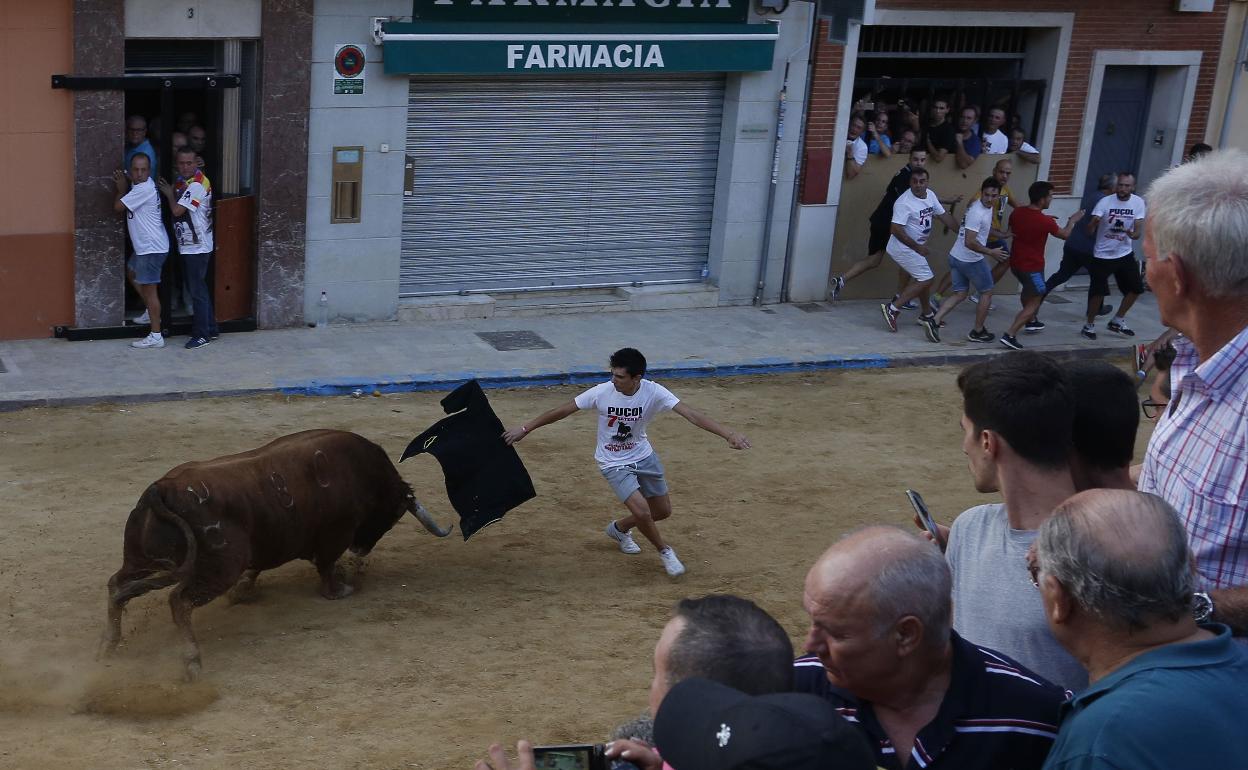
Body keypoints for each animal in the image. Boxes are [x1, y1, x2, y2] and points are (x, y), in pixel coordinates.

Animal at [98, 426, 449, 678]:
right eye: (394, 515)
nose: (361, 548)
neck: (361, 472)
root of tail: (161, 488)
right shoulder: (336, 534)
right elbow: (326, 567)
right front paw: (341, 589)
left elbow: (257, 569)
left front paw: (243, 592)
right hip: (220, 566)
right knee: (179, 602)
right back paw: (192, 662)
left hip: (142, 560)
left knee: (117, 586)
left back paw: (108, 645)